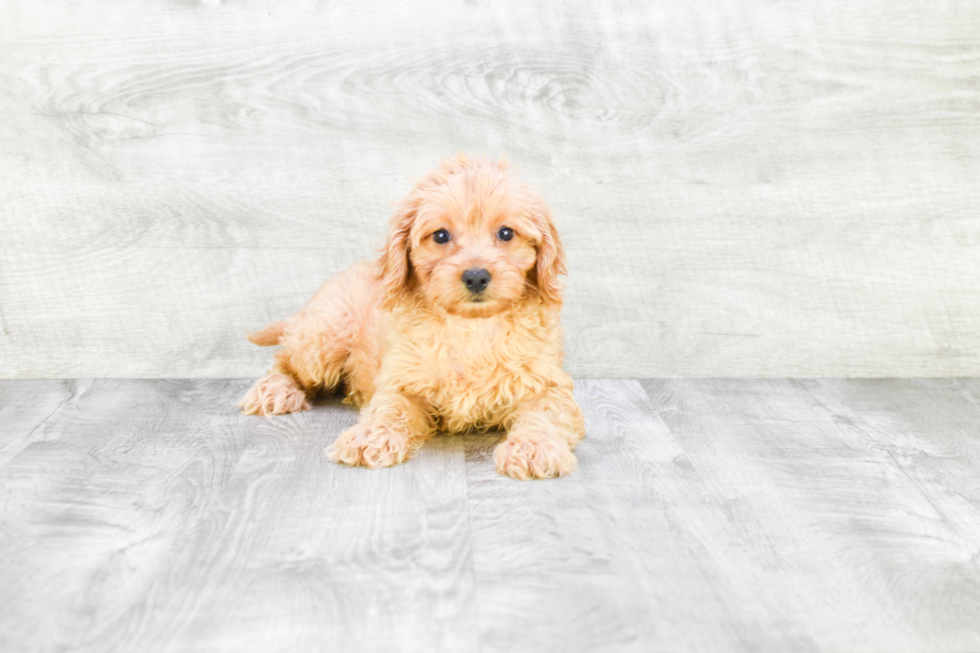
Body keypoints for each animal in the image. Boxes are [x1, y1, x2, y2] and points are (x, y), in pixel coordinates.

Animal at [241, 153, 584, 478]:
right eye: (441, 236)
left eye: (506, 233)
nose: (476, 277)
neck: (471, 326)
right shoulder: (402, 382)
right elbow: (391, 408)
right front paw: (370, 437)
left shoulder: (546, 384)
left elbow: (545, 414)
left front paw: (534, 447)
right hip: (324, 336)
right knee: (286, 361)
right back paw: (275, 391)